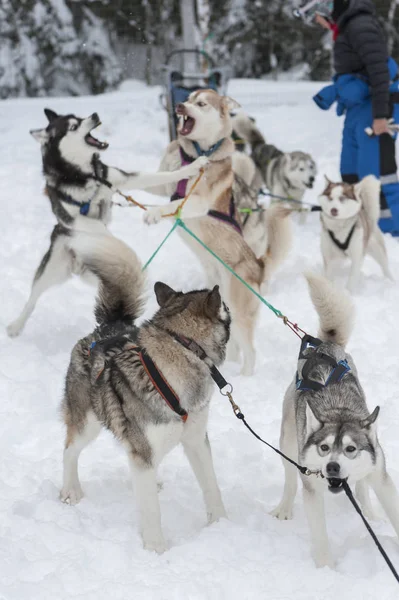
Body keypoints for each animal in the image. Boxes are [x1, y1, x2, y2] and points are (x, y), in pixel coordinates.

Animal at [7, 109, 206, 338]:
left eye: (79, 117)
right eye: (73, 126)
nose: (94, 115)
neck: (84, 174)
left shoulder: (119, 179)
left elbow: (159, 176)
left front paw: (192, 167)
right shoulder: (71, 218)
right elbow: (98, 228)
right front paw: (111, 241)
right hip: (52, 268)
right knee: (33, 297)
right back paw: (16, 326)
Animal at [58, 229, 228, 552]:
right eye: (227, 312)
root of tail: (109, 326)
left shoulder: (196, 440)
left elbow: (212, 486)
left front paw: (222, 525)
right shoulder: (143, 451)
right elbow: (151, 511)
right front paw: (155, 549)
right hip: (87, 423)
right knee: (70, 450)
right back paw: (70, 490)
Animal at [142, 89, 292, 376]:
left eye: (201, 103)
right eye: (189, 98)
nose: (180, 106)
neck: (199, 151)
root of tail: (258, 266)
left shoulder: (199, 202)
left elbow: (175, 203)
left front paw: (154, 213)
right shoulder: (163, 182)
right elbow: (153, 182)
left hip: (239, 308)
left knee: (250, 351)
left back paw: (245, 376)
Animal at [272, 274, 399, 568]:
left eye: (350, 448)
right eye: (324, 448)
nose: (332, 467)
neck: (339, 410)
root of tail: (323, 345)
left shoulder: (382, 477)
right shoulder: (312, 485)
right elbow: (319, 534)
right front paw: (325, 569)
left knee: (363, 488)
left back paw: (370, 513)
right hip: (288, 441)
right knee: (290, 478)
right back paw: (284, 507)